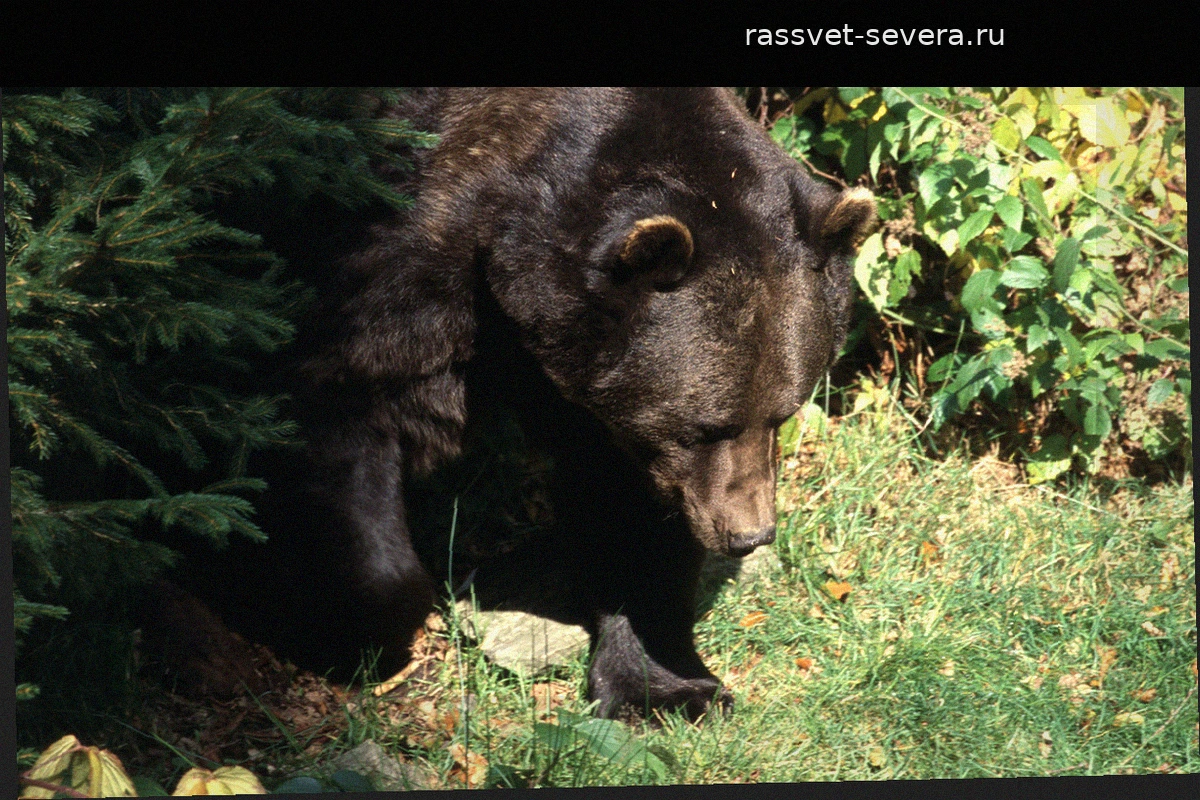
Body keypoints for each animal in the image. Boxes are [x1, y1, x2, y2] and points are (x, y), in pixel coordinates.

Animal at [244, 87, 875, 721]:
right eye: (703, 427)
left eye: (782, 413)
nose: (749, 534)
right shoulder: (400, 268)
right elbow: (337, 408)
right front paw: (341, 627)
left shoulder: (592, 391)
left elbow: (627, 510)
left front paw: (665, 683)